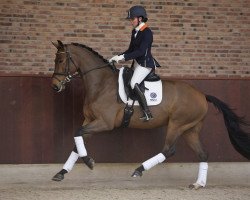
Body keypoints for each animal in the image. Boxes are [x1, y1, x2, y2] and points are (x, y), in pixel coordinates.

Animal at [50, 40, 250, 189]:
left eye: (60, 61)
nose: (55, 86)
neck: (101, 84)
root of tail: (201, 94)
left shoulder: (104, 123)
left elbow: (77, 134)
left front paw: (89, 162)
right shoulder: (90, 120)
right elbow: (77, 142)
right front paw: (61, 173)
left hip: (177, 124)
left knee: (169, 150)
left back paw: (139, 170)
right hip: (190, 129)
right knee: (202, 154)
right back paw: (198, 184)